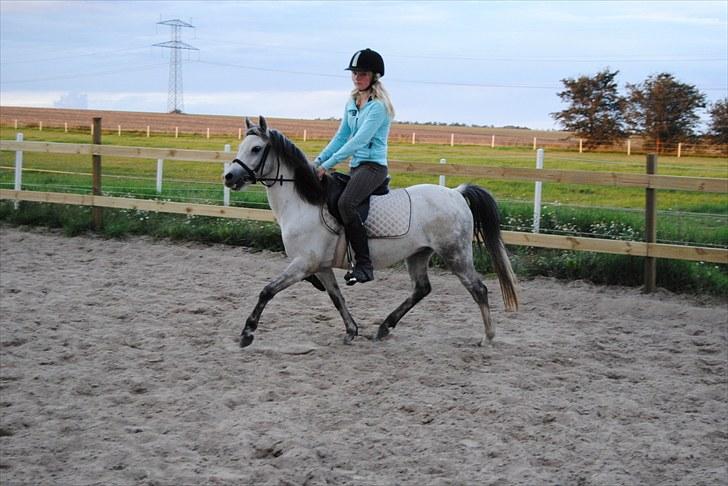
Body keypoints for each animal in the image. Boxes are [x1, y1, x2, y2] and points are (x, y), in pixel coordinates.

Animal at [223, 116, 518, 348]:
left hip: (455, 253)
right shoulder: (321, 267)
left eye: (256, 148)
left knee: (478, 289)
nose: (229, 177)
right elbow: (336, 297)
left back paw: (488, 337)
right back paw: (384, 327)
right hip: (419, 254)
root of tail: (456, 193)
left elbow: (267, 291)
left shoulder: (303, 263)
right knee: (422, 288)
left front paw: (247, 333)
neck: (304, 203)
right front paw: (351, 331)